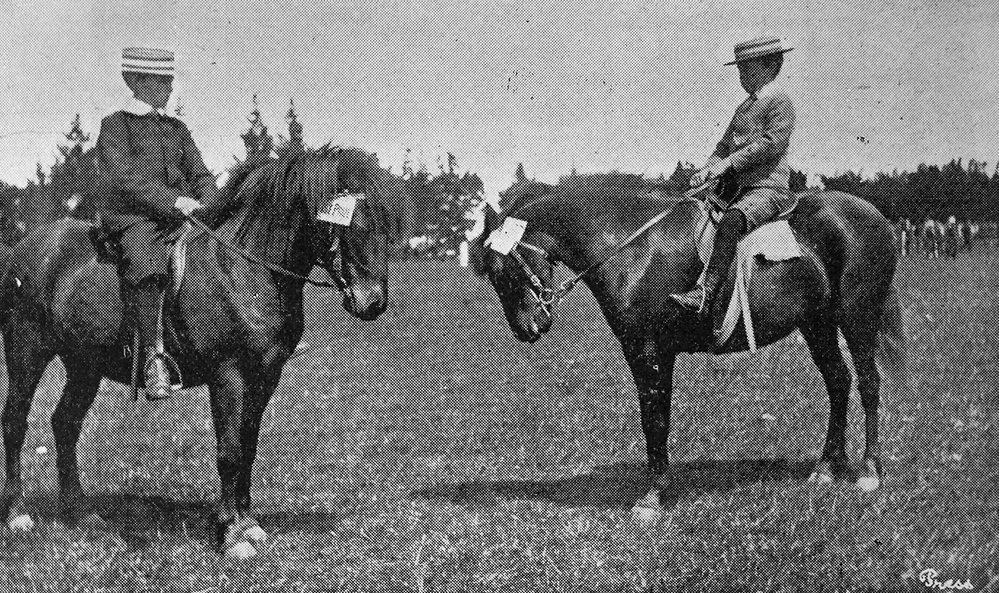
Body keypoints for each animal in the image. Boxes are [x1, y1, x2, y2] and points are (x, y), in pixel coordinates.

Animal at [0, 146, 397, 558]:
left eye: (385, 224)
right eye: (350, 226)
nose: (373, 302)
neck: (243, 269)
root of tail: (25, 249)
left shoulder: (265, 375)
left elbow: (248, 445)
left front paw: (247, 522)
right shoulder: (228, 373)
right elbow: (230, 451)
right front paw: (232, 533)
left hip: (84, 365)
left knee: (65, 423)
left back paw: (81, 512)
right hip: (26, 351)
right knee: (14, 422)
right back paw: (18, 514)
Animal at [478, 177, 908, 523]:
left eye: (505, 272)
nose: (527, 330)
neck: (631, 247)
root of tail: (878, 218)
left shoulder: (649, 352)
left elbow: (655, 419)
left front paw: (651, 498)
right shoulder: (651, 353)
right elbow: (656, 417)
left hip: (857, 319)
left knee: (868, 384)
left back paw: (868, 471)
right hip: (817, 324)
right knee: (839, 381)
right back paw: (828, 468)